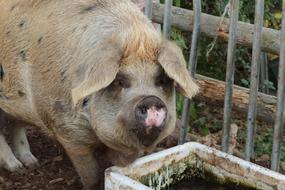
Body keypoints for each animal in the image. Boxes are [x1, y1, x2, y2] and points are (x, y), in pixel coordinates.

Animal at [0, 0, 197, 189]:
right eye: (119, 81)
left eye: (162, 79)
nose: (150, 99)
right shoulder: (67, 131)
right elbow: (92, 175)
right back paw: (16, 167)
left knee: (16, 123)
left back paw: (31, 162)